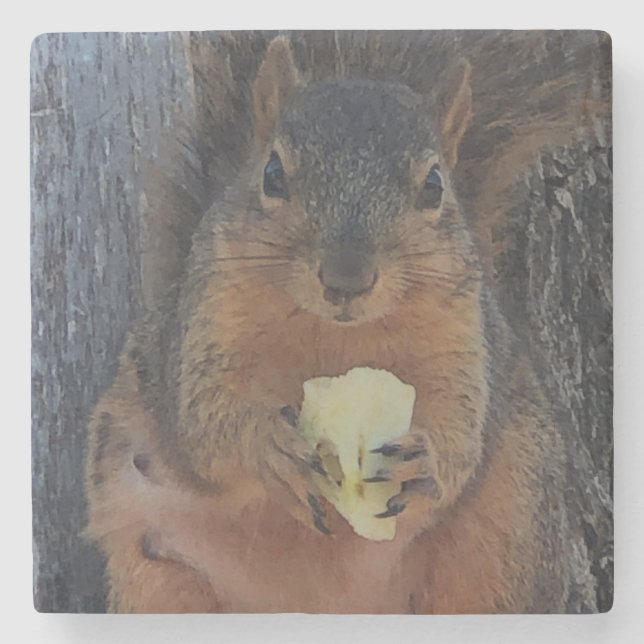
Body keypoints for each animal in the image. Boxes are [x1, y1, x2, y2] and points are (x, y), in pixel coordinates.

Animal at [84, 34, 588, 613]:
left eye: (434, 186)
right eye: (272, 174)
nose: (347, 278)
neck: (337, 336)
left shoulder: (464, 341)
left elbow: (462, 429)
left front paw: (428, 460)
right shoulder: (203, 329)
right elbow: (204, 421)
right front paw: (267, 444)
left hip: (508, 529)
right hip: (155, 570)